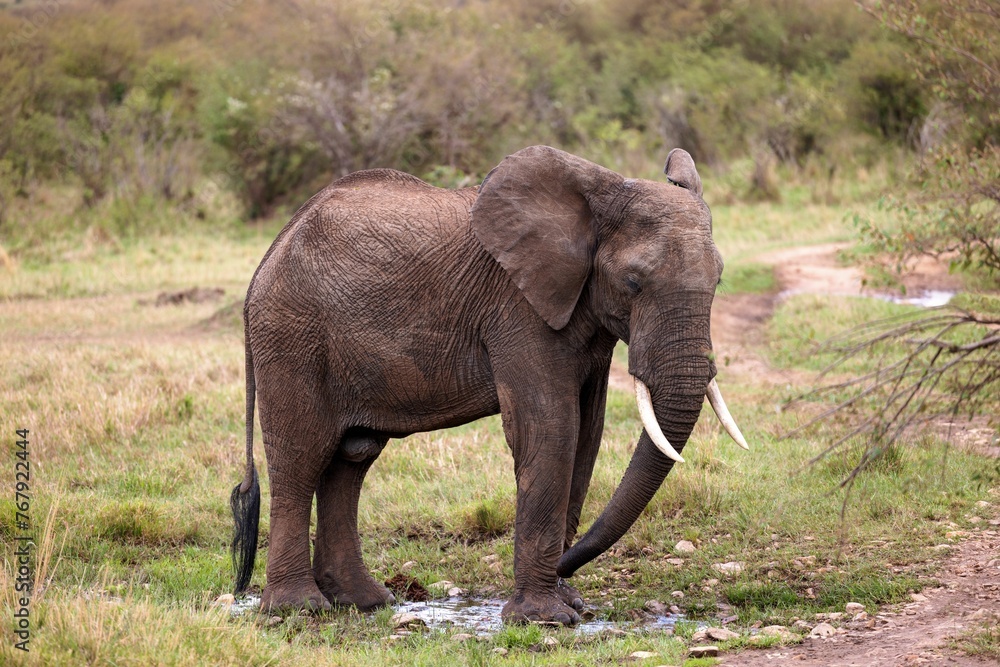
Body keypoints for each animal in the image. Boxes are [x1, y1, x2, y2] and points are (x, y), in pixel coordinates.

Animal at [230, 145, 748, 628]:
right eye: (633, 282)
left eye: (720, 279)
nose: (566, 568)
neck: (593, 201)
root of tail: (268, 255)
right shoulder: (517, 310)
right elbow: (551, 430)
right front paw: (546, 618)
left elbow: (587, 435)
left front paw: (570, 605)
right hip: (292, 335)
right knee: (302, 456)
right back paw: (299, 610)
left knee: (350, 459)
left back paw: (364, 602)